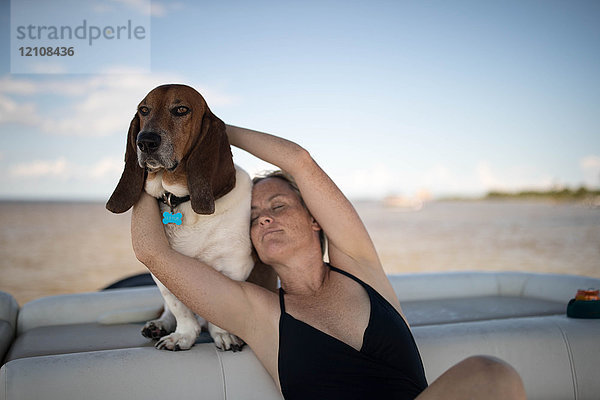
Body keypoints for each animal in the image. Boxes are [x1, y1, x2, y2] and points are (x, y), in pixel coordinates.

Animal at [106, 83, 258, 350]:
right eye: (144, 110)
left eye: (181, 110)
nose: (145, 141)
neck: (179, 200)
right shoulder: (161, 270)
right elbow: (179, 308)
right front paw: (183, 335)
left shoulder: (233, 264)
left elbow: (221, 307)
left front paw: (224, 334)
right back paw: (159, 325)